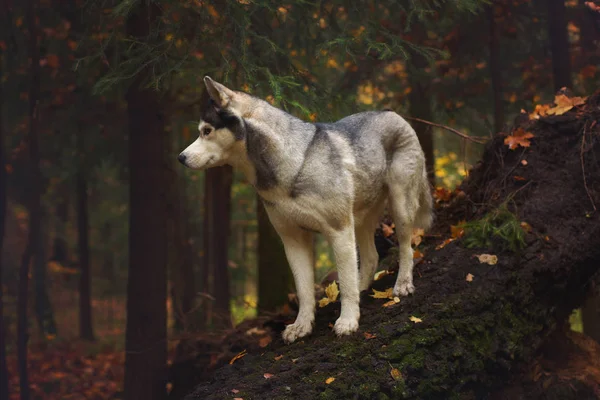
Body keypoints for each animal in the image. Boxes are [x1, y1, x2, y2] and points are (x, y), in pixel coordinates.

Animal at [178, 78, 432, 344]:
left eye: (207, 131)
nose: (180, 157)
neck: (293, 164)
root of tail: (391, 112)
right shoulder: (292, 239)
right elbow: (304, 290)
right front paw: (302, 326)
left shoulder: (339, 230)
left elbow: (345, 281)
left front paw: (348, 321)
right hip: (362, 218)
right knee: (371, 257)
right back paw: (364, 289)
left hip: (400, 206)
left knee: (406, 248)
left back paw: (402, 285)